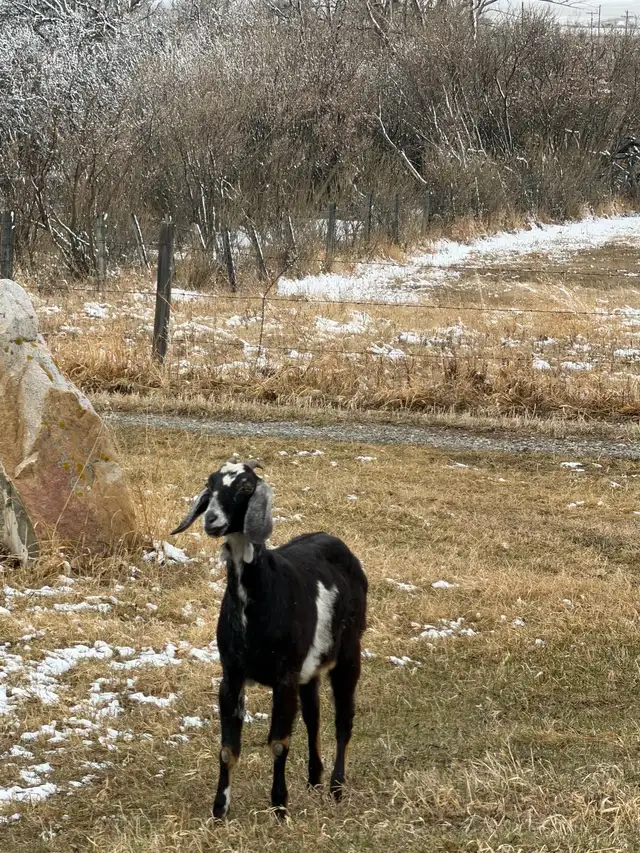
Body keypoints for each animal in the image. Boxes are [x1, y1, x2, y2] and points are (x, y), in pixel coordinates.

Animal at [171, 458, 368, 819]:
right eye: (210, 483)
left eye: (246, 487)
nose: (212, 519)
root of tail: (338, 543)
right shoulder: (232, 675)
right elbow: (227, 748)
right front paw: (219, 810)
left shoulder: (284, 676)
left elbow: (279, 742)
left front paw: (279, 806)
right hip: (309, 669)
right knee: (314, 718)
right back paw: (314, 780)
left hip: (348, 653)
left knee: (343, 719)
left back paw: (336, 787)